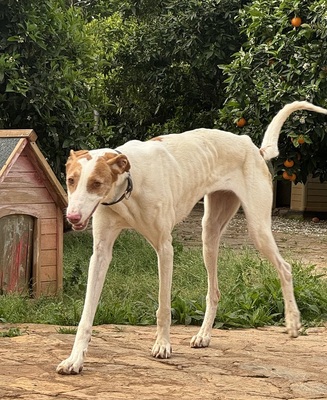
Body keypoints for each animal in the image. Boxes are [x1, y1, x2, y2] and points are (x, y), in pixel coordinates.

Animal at [56, 101, 327, 376]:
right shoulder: (101, 254)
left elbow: (164, 306)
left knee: (285, 268)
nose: (72, 216)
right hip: (209, 235)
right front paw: (75, 359)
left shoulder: (165, 249)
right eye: (71, 180)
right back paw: (204, 335)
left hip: (258, 229)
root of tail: (253, 147)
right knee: (214, 291)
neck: (128, 187)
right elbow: (86, 315)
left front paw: (162, 345)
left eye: (96, 183)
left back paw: (293, 322)